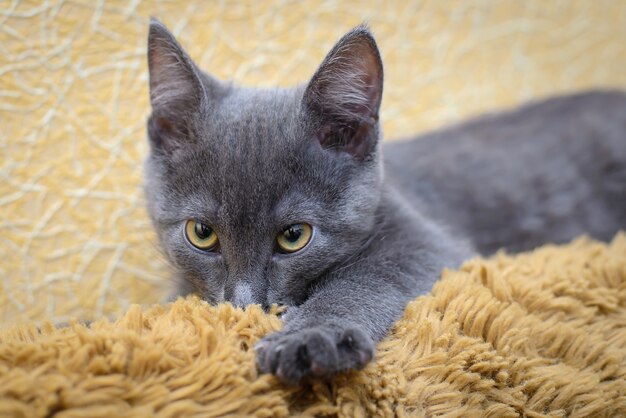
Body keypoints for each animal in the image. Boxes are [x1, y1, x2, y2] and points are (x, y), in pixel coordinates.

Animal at [143, 20, 624, 386]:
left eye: (294, 236)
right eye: (201, 233)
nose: (245, 305)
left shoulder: (424, 237)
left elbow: (367, 277)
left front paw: (311, 337)